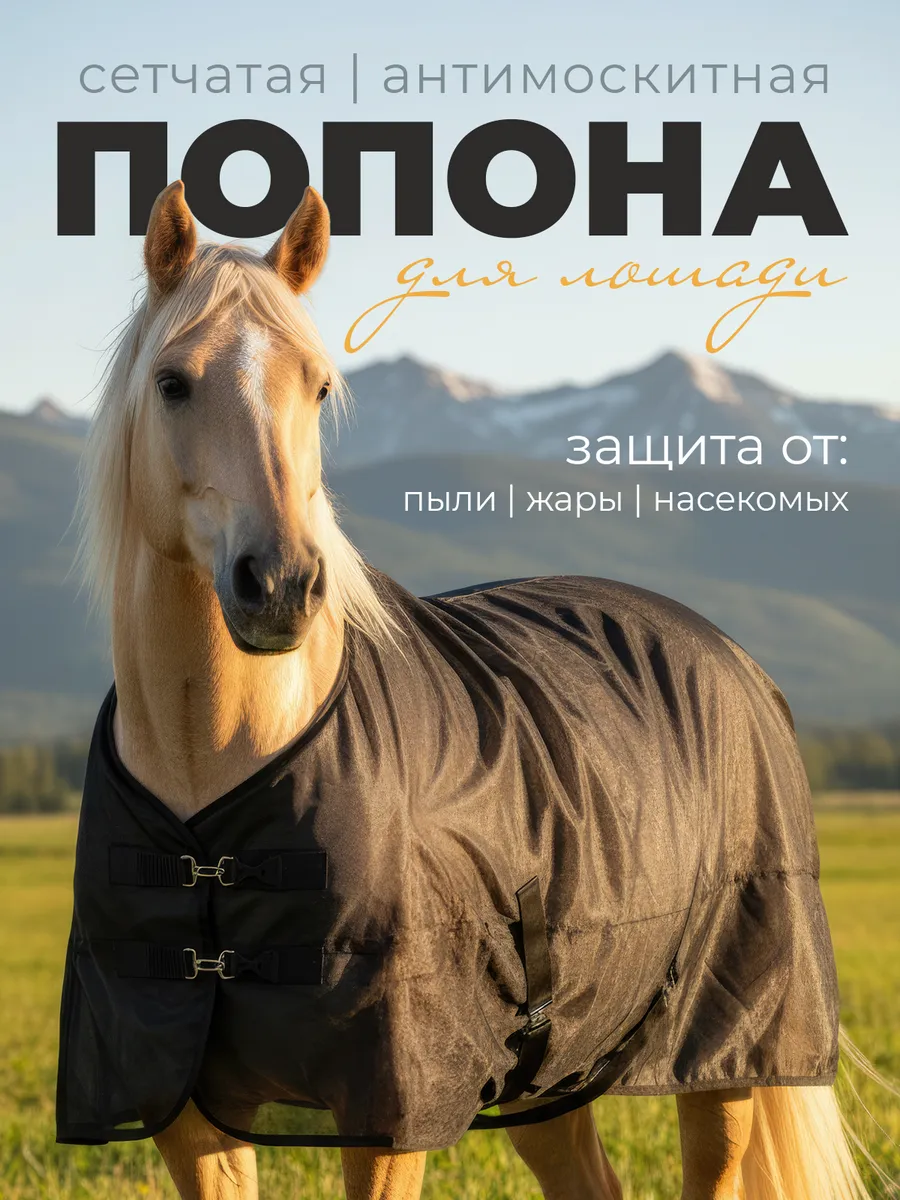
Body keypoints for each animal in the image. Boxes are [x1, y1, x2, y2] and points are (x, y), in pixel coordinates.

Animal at [59, 178, 875, 1200]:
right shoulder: (183, 1106)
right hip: (556, 1071)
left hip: (722, 1053)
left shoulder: (389, 1108)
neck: (215, 778)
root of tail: (731, 655)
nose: (280, 585)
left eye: (317, 384)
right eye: (172, 382)